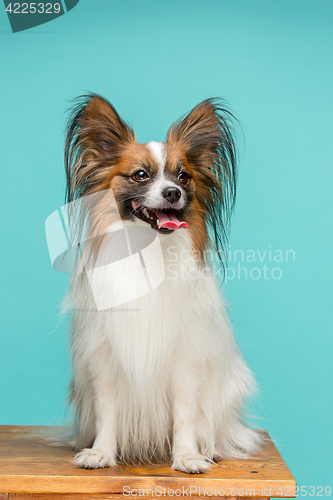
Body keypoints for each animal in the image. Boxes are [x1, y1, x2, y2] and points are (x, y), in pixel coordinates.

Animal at [62, 94, 260, 472]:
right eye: (140, 175)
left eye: (183, 176)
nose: (172, 192)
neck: (147, 248)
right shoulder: (105, 357)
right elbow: (108, 410)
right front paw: (101, 453)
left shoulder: (185, 359)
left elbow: (184, 412)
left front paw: (186, 456)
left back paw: (210, 447)